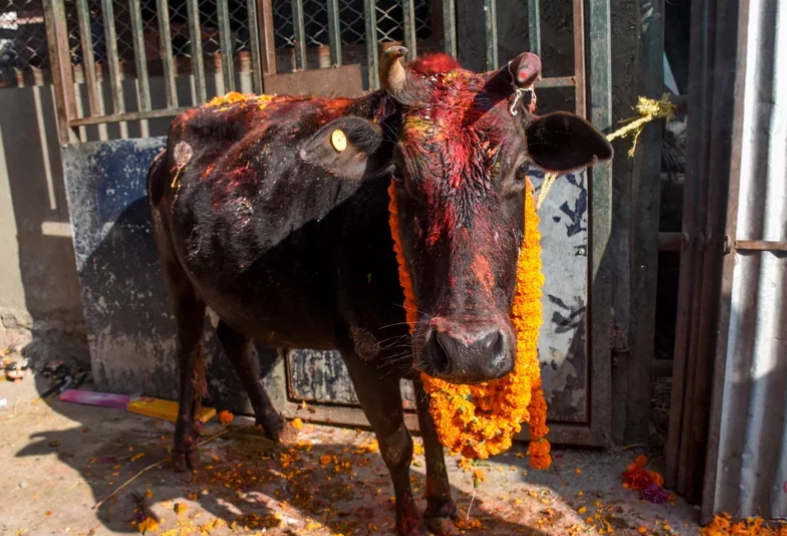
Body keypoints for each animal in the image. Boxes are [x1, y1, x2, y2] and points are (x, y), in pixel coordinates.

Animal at [149, 47, 616, 536]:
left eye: (521, 169)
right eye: (402, 175)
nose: (471, 348)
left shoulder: (428, 353)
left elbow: (431, 430)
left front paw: (441, 507)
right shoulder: (364, 355)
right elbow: (396, 443)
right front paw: (409, 522)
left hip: (238, 292)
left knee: (232, 340)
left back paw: (277, 426)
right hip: (175, 272)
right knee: (187, 350)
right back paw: (183, 446)